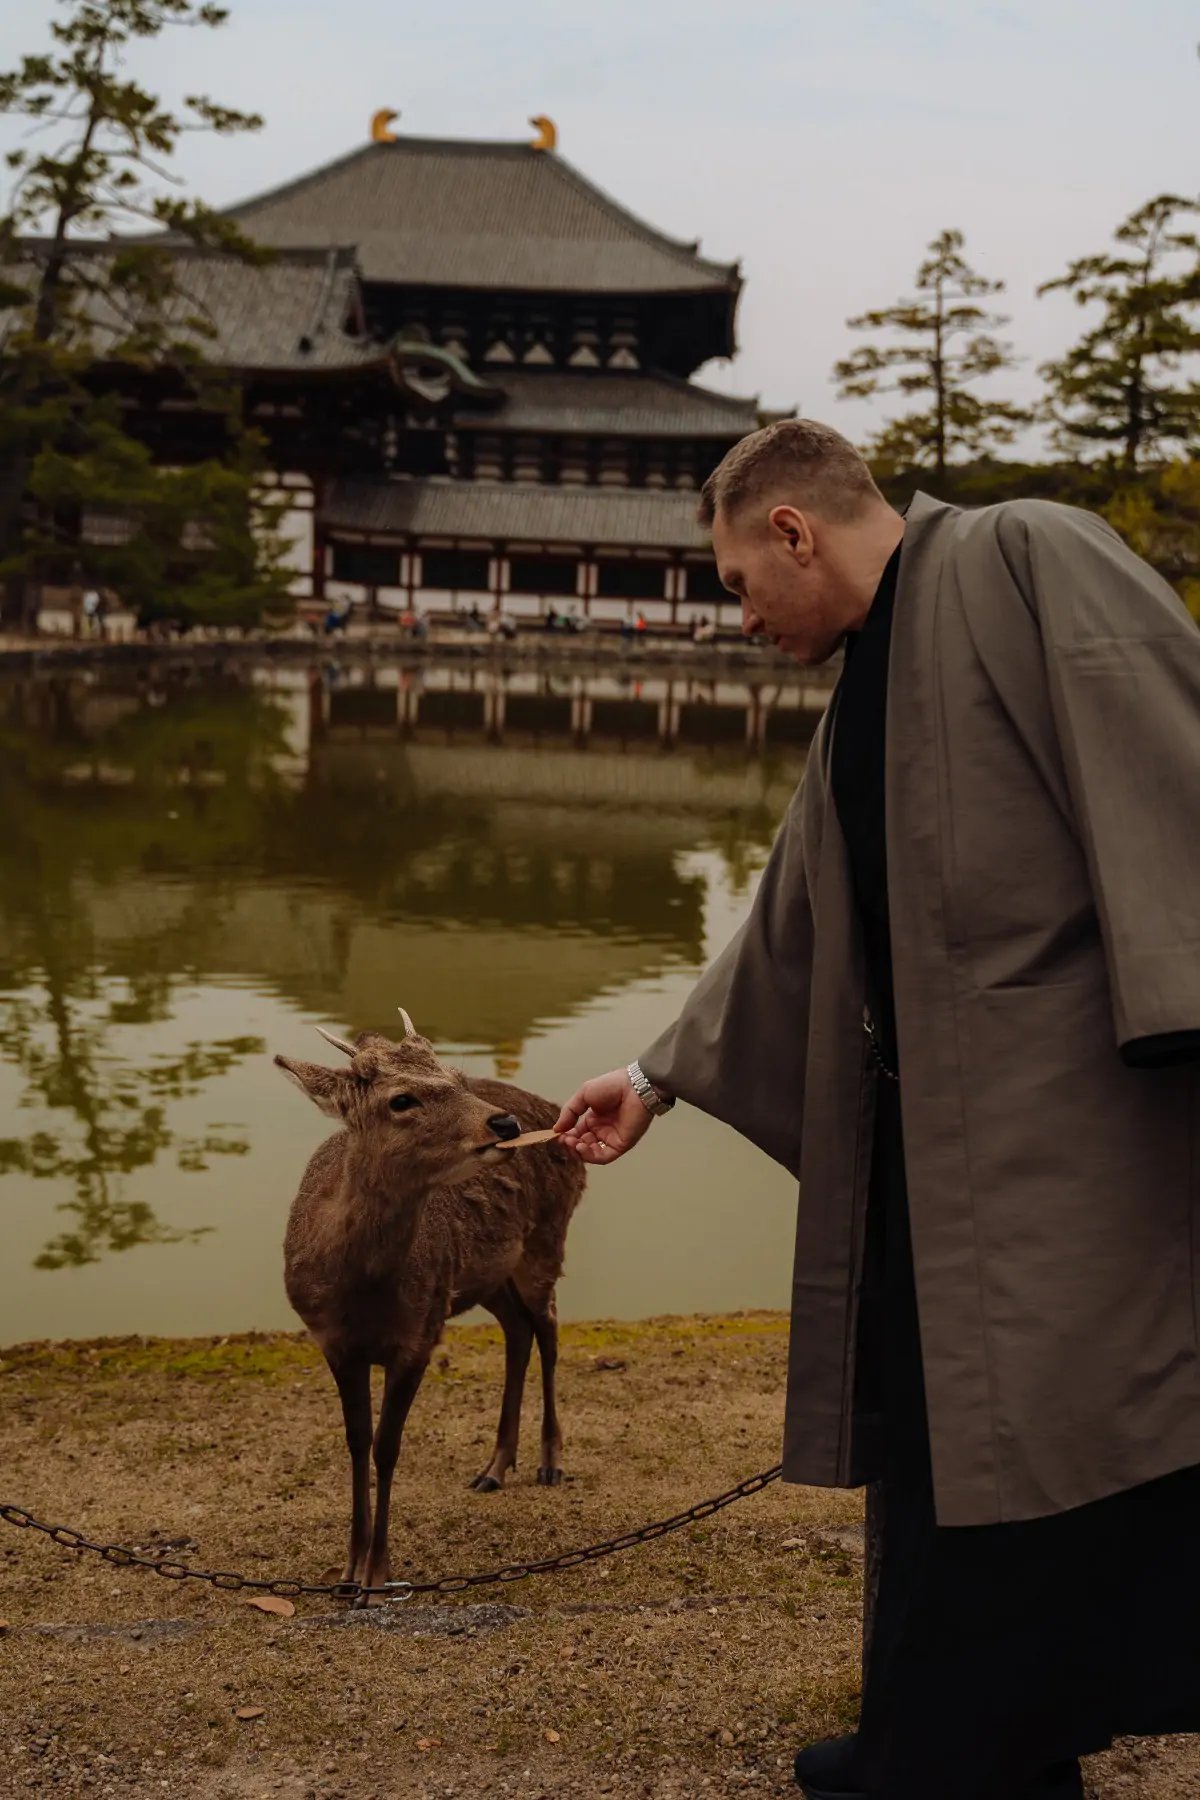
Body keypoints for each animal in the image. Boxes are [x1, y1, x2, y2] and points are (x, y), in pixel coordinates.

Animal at [277, 1008, 586, 1598]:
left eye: (458, 1079)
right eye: (402, 1100)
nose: (505, 1125)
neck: (363, 1294)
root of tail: (554, 1109)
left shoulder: (418, 1336)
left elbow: (387, 1445)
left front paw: (377, 1576)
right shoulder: (332, 1340)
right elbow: (356, 1442)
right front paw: (347, 1574)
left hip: (546, 1238)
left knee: (550, 1329)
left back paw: (550, 1462)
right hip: (486, 1278)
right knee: (519, 1331)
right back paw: (494, 1467)